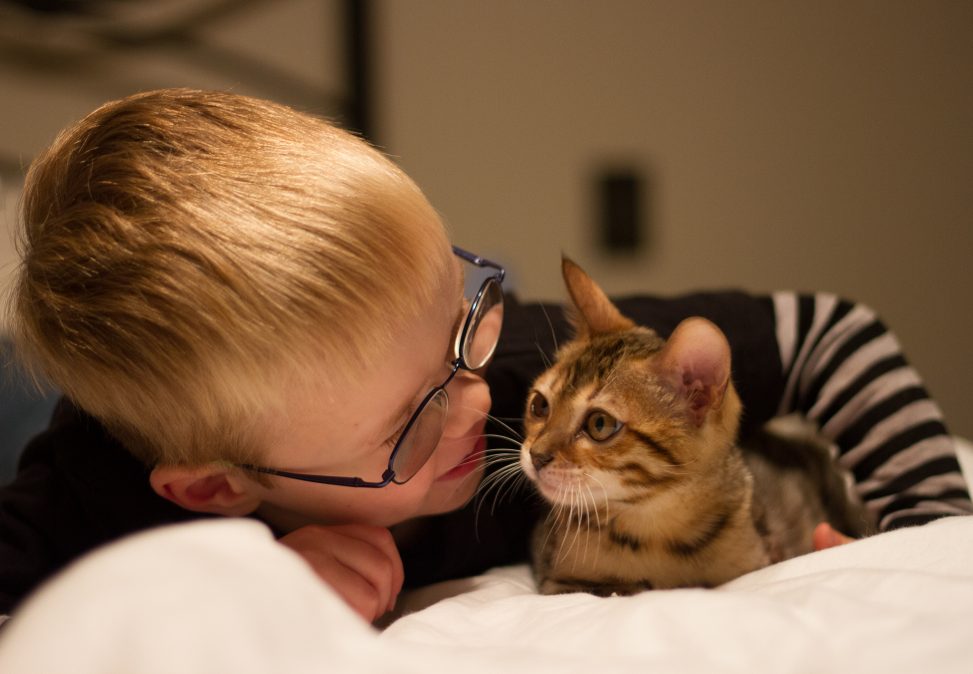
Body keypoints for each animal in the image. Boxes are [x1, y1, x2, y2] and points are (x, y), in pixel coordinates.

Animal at [520, 258, 872, 596]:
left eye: (600, 424)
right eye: (540, 405)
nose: (536, 455)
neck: (653, 530)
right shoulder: (556, 579)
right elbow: (610, 587)